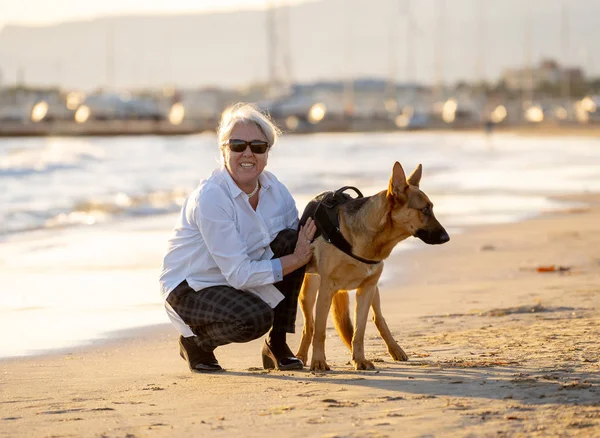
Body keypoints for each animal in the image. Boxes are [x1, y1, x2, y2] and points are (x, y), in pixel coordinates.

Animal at [298, 161, 448, 370]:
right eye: (424, 209)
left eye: (431, 208)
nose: (446, 237)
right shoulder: (326, 289)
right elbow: (320, 330)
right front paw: (319, 361)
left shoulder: (366, 289)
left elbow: (359, 332)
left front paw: (359, 359)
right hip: (309, 294)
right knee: (309, 326)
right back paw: (301, 356)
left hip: (374, 291)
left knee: (378, 318)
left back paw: (395, 349)